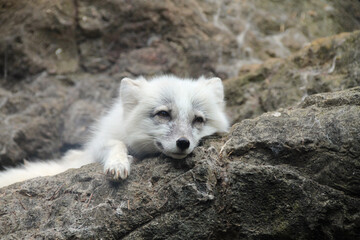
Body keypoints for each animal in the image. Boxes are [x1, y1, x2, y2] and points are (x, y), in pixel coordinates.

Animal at [0, 76, 229, 188]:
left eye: (198, 120)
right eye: (163, 114)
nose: (183, 143)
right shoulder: (98, 145)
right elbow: (115, 143)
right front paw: (118, 164)